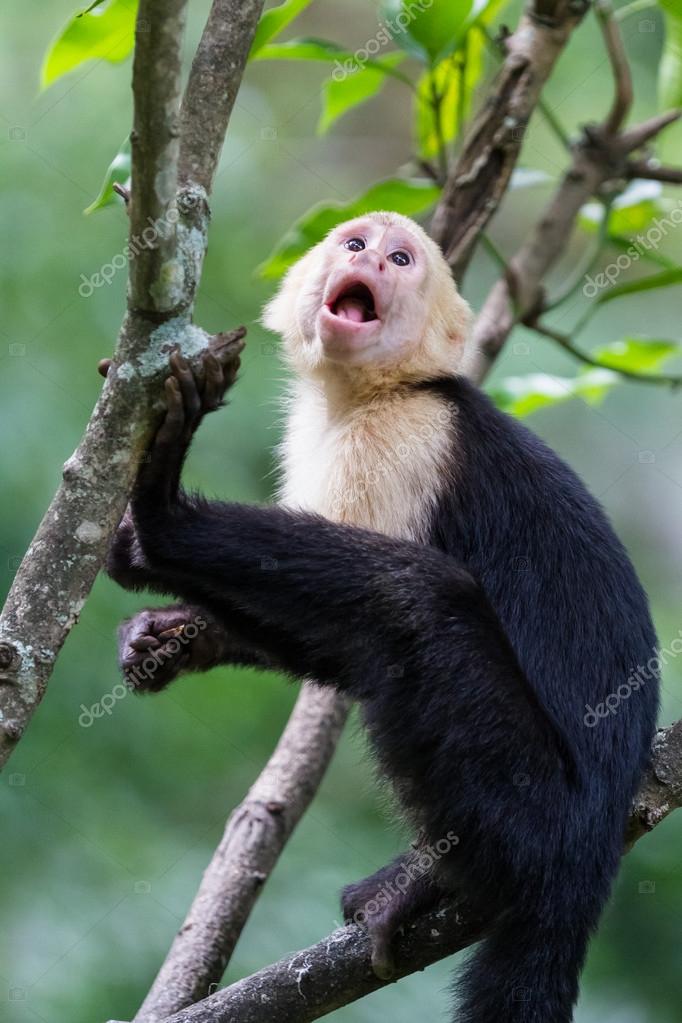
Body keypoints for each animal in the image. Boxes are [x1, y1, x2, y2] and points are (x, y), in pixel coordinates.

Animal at [107, 211, 659, 1023]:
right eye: (356, 245)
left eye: (401, 260)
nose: (372, 256)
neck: (374, 393)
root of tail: (592, 852)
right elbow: (333, 648)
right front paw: (172, 636)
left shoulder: (406, 442)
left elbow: (361, 617)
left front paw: (161, 523)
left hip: (539, 809)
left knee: (417, 600)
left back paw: (439, 880)